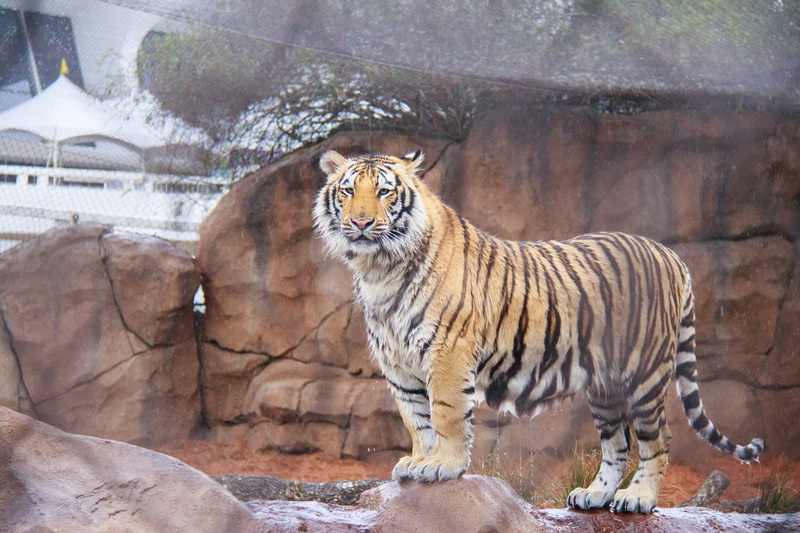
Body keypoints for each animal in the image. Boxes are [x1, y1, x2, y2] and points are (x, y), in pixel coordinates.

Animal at [312, 149, 764, 513]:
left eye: (384, 192)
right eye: (348, 191)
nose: (361, 222)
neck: (379, 269)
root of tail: (670, 255)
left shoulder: (447, 353)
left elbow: (446, 414)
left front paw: (444, 466)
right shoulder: (398, 365)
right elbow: (417, 419)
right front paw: (419, 462)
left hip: (645, 374)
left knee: (658, 440)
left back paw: (638, 499)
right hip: (606, 386)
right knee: (617, 444)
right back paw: (594, 496)